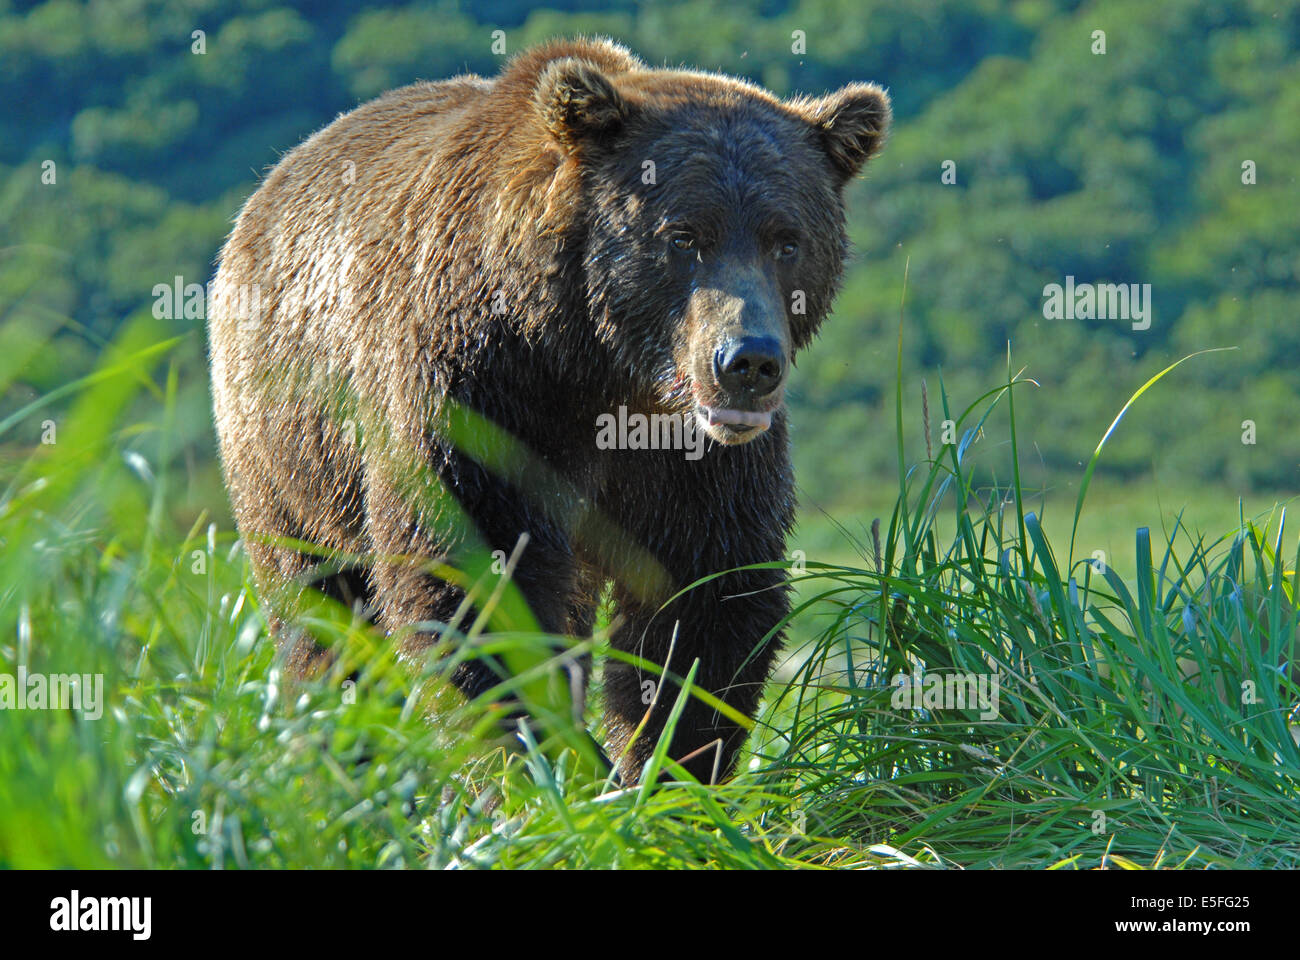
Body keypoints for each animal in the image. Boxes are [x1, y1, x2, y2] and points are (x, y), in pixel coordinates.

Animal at [205, 39, 894, 785]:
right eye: (683, 236)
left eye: (786, 240)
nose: (747, 362)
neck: (601, 369)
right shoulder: (483, 390)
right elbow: (477, 574)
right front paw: (528, 768)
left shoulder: (694, 460)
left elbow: (702, 598)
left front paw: (666, 769)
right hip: (288, 445)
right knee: (319, 606)